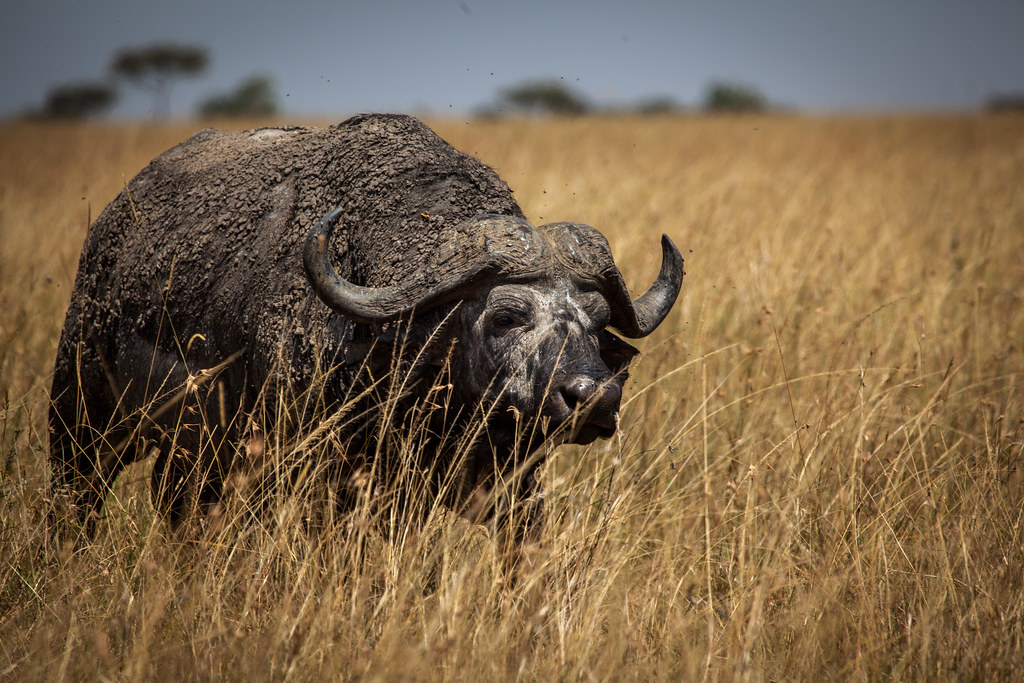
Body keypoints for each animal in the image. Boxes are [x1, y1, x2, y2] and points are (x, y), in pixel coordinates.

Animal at [49, 113, 683, 536]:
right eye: (507, 316)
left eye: (597, 322)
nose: (595, 397)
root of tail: (113, 222)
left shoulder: (507, 483)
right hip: (80, 416)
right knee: (77, 495)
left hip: (190, 454)